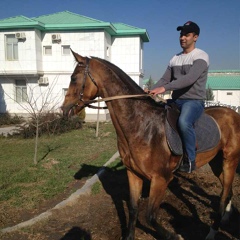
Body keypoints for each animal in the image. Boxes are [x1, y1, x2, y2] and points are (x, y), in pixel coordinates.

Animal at [62, 49, 240, 239]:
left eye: (74, 78)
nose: (64, 110)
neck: (142, 126)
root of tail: (234, 114)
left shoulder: (161, 179)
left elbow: (151, 217)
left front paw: (174, 236)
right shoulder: (133, 174)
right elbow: (133, 209)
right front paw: (129, 236)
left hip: (230, 161)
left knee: (224, 195)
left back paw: (212, 231)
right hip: (217, 162)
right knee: (227, 191)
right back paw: (226, 217)